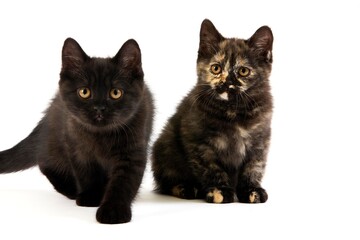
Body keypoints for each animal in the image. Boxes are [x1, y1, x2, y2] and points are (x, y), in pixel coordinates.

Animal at [0, 37, 153, 223]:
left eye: (116, 93)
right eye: (84, 92)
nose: (99, 108)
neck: (100, 135)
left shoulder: (132, 151)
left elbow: (123, 182)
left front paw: (113, 210)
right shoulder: (77, 147)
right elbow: (86, 174)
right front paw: (91, 197)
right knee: (45, 162)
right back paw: (73, 191)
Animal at [151, 18, 272, 203]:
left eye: (243, 71)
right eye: (216, 68)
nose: (226, 83)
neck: (232, 111)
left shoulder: (260, 142)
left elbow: (253, 167)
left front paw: (251, 189)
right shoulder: (199, 143)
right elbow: (211, 168)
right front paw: (219, 190)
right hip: (165, 145)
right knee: (167, 181)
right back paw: (186, 188)